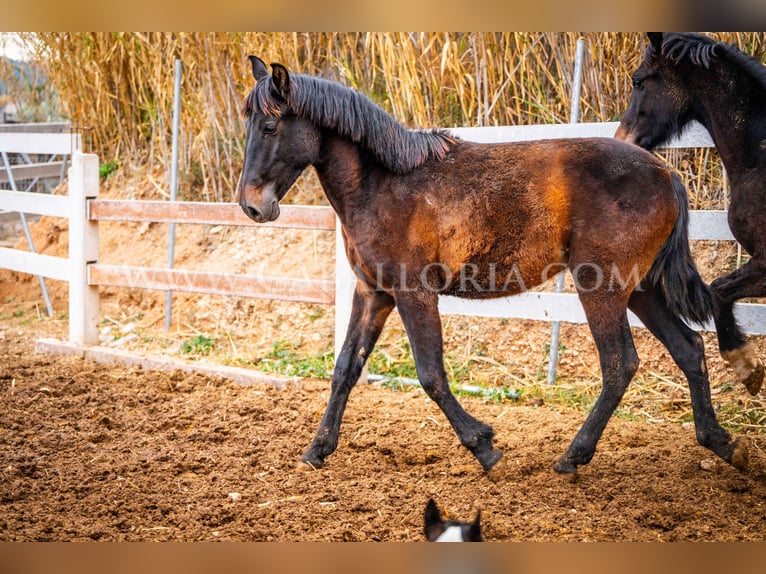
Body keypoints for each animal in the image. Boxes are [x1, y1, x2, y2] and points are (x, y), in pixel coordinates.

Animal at [240, 55, 752, 476]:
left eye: (270, 127)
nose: (251, 206)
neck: (384, 184)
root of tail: (665, 173)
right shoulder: (374, 294)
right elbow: (345, 368)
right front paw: (317, 450)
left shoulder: (413, 293)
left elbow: (430, 374)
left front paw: (484, 446)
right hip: (641, 288)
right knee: (688, 349)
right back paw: (722, 443)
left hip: (602, 288)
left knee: (619, 363)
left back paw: (573, 456)